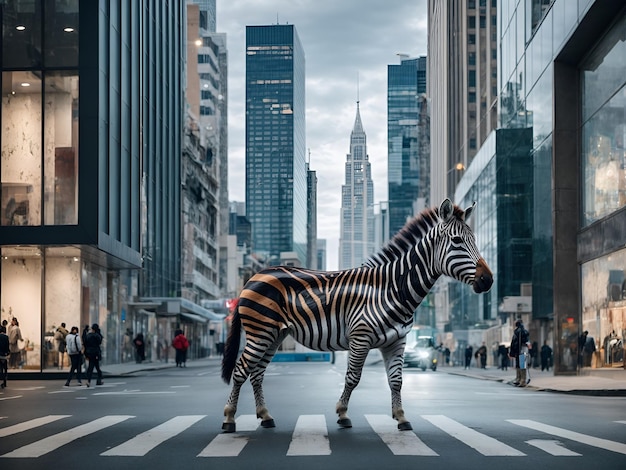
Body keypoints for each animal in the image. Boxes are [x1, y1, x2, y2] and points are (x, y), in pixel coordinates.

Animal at [221, 198, 492, 434]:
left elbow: (396, 380)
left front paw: (401, 418)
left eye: (474, 240)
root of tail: (255, 276)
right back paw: (229, 419)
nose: (488, 280)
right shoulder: (360, 337)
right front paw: (342, 414)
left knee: (257, 372)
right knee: (241, 370)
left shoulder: (397, 341)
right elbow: (353, 378)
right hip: (260, 332)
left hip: (274, 334)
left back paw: (265, 416)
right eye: (457, 240)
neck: (392, 288)